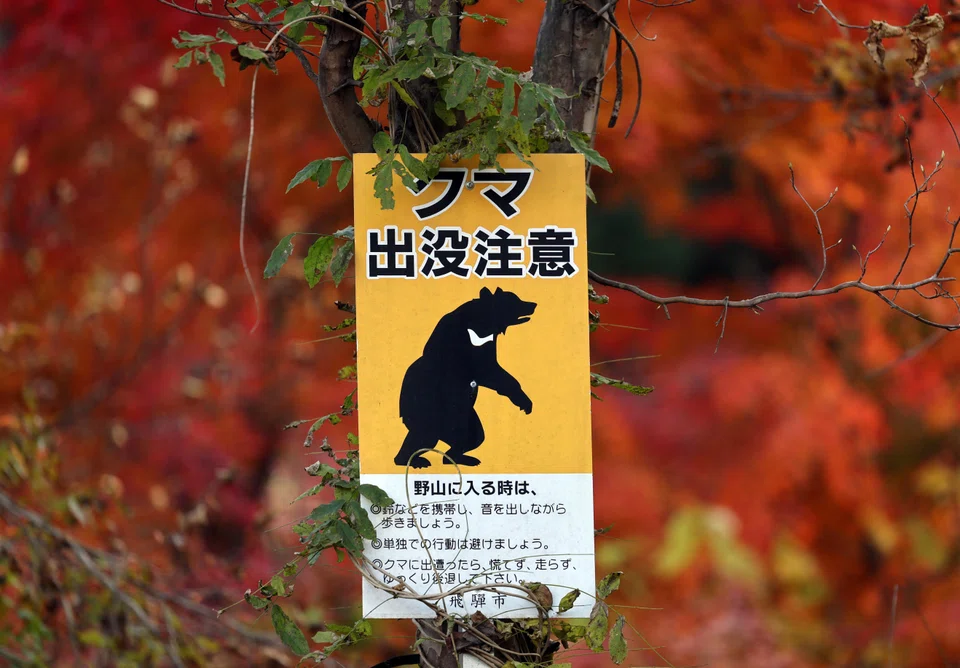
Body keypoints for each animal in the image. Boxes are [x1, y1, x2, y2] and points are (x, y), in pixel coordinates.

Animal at [393, 287, 537, 469]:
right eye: (513, 300)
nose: (533, 304)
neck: (480, 327)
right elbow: (486, 370)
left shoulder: (486, 343)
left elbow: (491, 372)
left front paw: (523, 401)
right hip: (426, 409)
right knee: (425, 433)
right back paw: (414, 460)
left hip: (464, 417)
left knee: (472, 436)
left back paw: (459, 458)